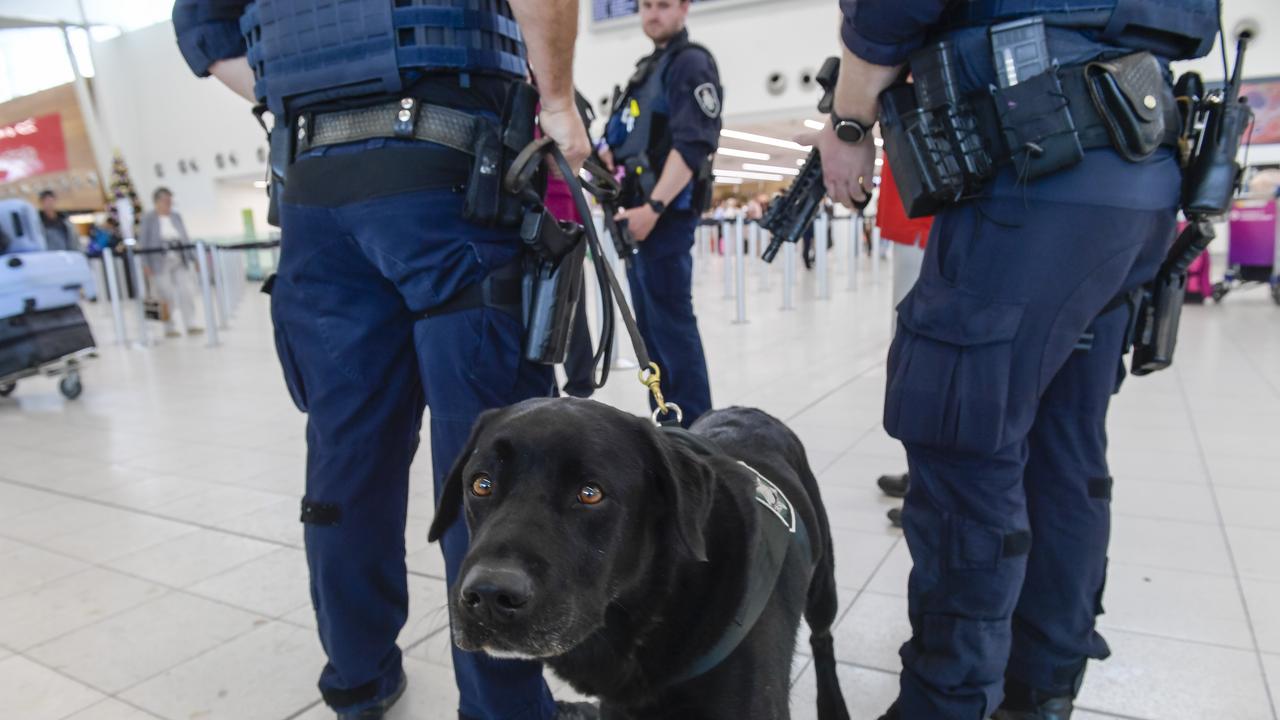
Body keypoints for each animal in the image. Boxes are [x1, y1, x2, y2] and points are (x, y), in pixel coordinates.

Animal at [430, 397, 849, 717]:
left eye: (590, 493)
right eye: (481, 484)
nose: (488, 595)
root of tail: (747, 409)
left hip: (823, 588)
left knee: (822, 639)